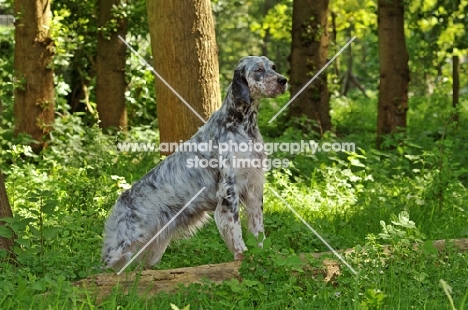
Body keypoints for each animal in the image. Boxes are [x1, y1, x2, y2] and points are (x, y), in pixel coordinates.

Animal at [100, 55, 288, 268]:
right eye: (258, 70)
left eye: (273, 67)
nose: (283, 81)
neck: (242, 126)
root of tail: (122, 199)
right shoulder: (229, 189)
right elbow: (236, 230)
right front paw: (242, 256)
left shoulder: (254, 188)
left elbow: (258, 230)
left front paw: (262, 255)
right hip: (122, 246)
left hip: (153, 248)